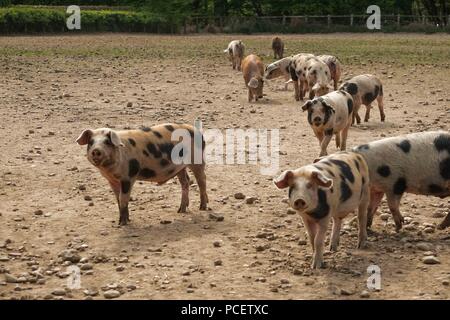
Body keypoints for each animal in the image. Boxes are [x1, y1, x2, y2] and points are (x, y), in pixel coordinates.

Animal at [77, 122, 209, 225]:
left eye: (107, 142)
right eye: (91, 142)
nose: (96, 150)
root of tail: (197, 131)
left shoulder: (128, 176)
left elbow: (124, 198)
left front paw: (122, 223)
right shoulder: (112, 180)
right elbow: (118, 199)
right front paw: (124, 220)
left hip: (197, 160)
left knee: (202, 180)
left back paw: (202, 207)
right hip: (179, 167)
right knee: (185, 182)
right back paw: (181, 210)